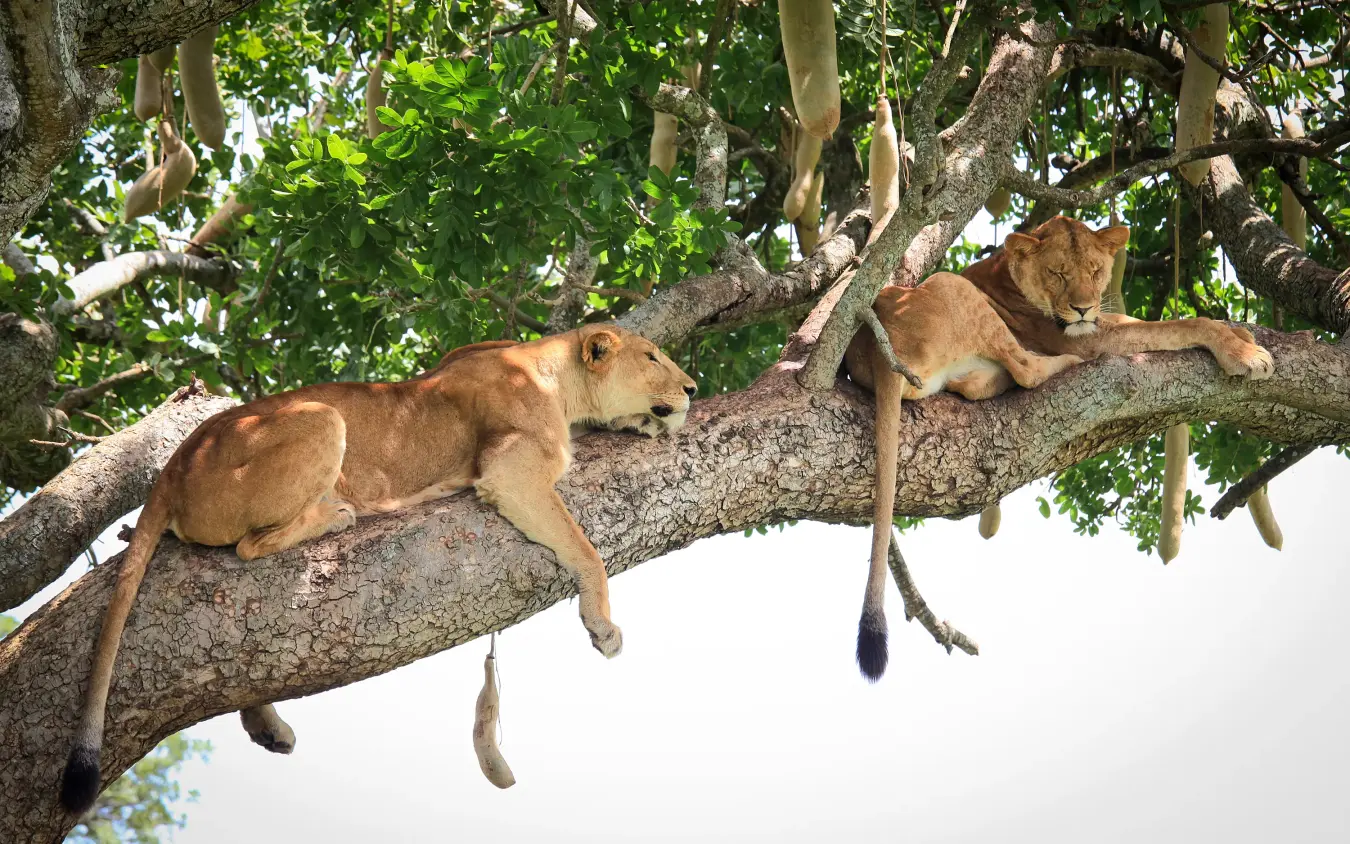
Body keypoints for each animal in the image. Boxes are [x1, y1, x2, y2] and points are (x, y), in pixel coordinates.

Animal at [60, 324, 697, 814]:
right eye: (652, 356)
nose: (692, 389)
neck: (556, 377)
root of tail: (174, 464)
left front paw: (647, 423)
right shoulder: (511, 471)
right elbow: (585, 548)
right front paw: (603, 626)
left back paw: (269, 727)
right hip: (320, 418)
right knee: (248, 548)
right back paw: (334, 515)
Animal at [845, 215, 1274, 681]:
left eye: (1095, 271)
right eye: (1058, 273)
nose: (1084, 308)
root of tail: (872, 352)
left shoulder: (1099, 320)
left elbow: (1162, 320)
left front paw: (1241, 332)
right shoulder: (1084, 337)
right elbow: (1178, 325)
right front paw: (1244, 353)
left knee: (982, 382)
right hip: (951, 284)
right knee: (1027, 369)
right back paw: (1060, 366)